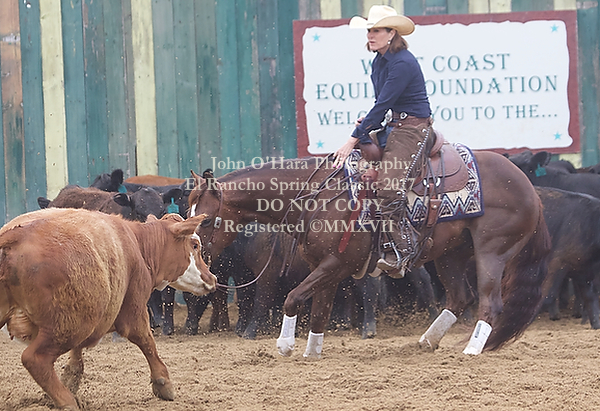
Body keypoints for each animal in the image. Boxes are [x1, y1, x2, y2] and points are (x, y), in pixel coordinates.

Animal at [0, 208, 217, 410]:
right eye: (195, 245)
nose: (212, 278)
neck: (138, 244)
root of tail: (15, 236)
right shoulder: (134, 309)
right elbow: (146, 341)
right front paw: (162, 383)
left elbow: (77, 357)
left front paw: (70, 379)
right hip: (66, 327)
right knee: (34, 359)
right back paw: (67, 401)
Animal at [187, 144, 550, 358]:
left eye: (208, 221)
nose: (197, 258)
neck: (320, 196)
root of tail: (527, 185)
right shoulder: (326, 268)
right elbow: (319, 312)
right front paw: (312, 352)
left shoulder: (336, 263)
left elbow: (292, 297)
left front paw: (286, 344)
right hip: (451, 254)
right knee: (460, 297)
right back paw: (428, 341)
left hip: (492, 251)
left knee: (490, 302)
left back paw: (473, 349)